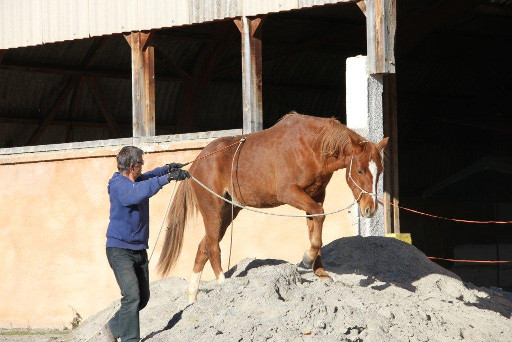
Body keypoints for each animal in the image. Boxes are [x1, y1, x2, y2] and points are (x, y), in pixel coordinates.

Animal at [157, 112, 388, 302]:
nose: (370, 208)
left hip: (228, 211)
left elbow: (316, 227)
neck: (311, 146)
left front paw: (320, 271)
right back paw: (223, 283)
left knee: (203, 246)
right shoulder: (290, 193)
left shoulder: (315, 196)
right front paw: (307, 259)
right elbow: (319, 217)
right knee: (212, 247)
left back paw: (193, 297)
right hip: (213, 207)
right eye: (360, 171)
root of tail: (195, 163)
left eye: (380, 170)